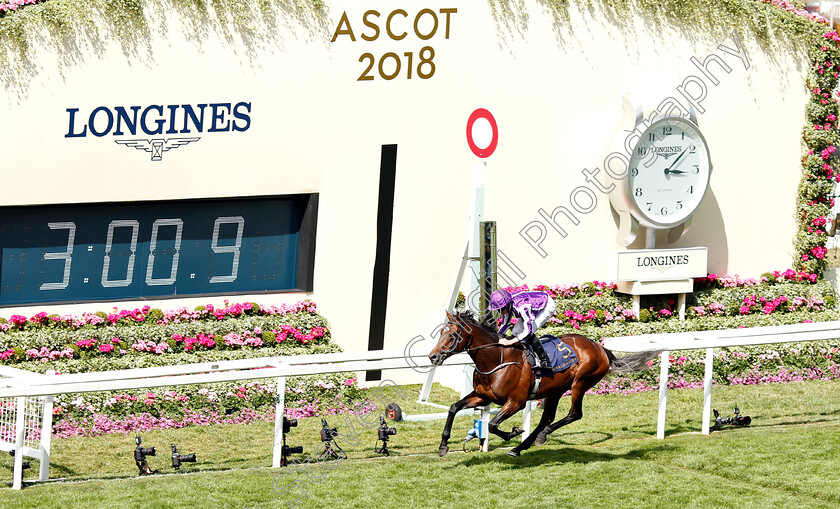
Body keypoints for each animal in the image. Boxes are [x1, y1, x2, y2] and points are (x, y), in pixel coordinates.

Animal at [430, 310, 660, 456]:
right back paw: (525, 445)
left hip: (580, 383)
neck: (497, 360)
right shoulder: (482, 396)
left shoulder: (516, 402)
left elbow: (493, 424)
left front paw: (513, 432)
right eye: (441, 332)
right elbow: (453, 408)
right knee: (547, 417)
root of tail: (601, 348)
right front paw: (443, 446)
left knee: (574, 414)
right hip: (555, 390)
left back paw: (533, 439)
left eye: (453, 334)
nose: (433, 357)